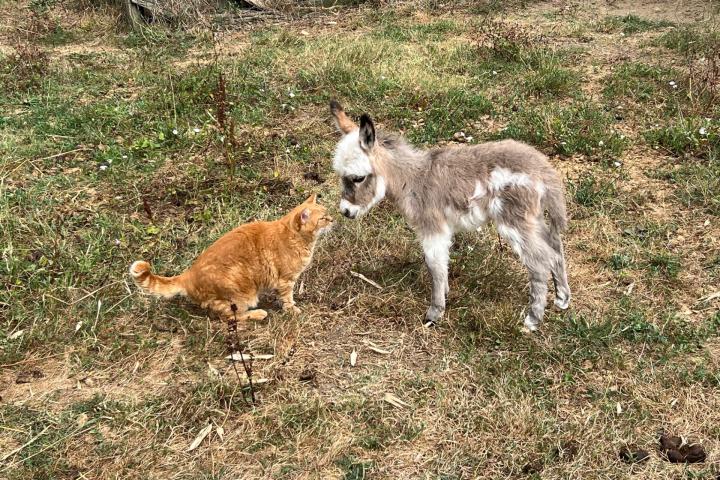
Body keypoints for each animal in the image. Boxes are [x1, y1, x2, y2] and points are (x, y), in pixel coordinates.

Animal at [129, 194, 332, 322]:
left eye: (327, 212)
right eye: (322, 218)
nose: (332, 219)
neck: (294, 236)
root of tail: (187, 274)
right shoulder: (286, 280)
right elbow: (287, 299)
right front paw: (292, 309)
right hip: (242, 296)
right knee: (230, 317)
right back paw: (258, 314)